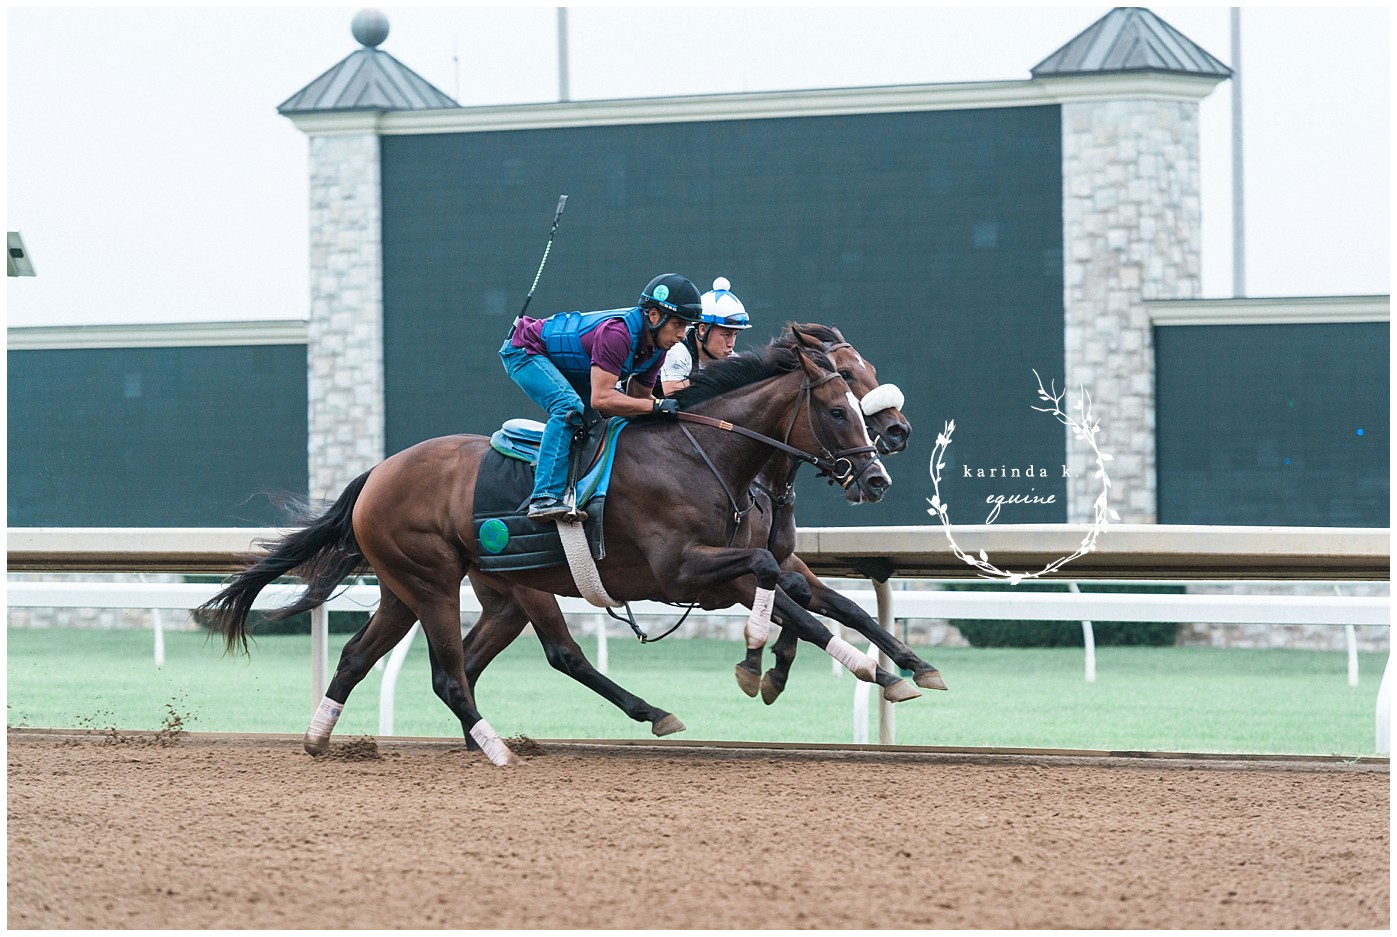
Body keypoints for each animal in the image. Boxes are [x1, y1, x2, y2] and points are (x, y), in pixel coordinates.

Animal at [197, 342, 899, 765]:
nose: (877, 475)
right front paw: (793, 664)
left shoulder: (721, 570)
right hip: (440, 581)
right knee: (468, 670)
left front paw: (895, 668)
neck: (702, 456)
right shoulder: (683, 571)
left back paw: (322, 737)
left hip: (421, 587)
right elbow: (778, 586)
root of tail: (377, 473)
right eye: (839, 407)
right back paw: (501, 747)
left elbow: (808, 595)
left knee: (362, 658)